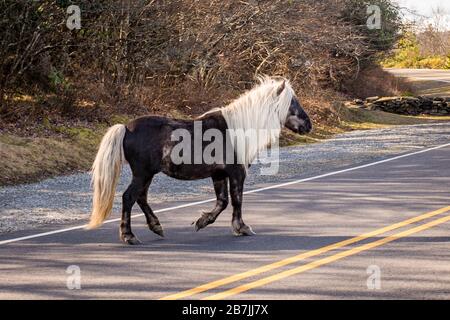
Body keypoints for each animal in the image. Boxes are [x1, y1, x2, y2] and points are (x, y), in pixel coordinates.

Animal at [88, 76, 312, 244]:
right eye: (291, 103)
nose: (308, 125)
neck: (237, 129)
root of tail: (126, 127)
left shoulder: (219, 174)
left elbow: (222, 202)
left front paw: (202, 221)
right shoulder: (236, 173)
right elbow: (236, 200)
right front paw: (242, 227)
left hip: (146, 175)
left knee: (141, 198)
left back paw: (156, 227)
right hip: (143, 174)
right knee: (129, 197)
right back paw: (129, 236)